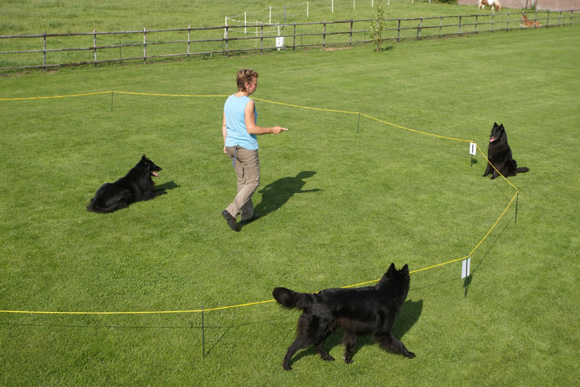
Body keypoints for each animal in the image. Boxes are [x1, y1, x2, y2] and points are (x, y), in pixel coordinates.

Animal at [274, 264, 414, 370]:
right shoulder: (384, 332)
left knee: (318, 345)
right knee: (293, 347)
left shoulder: (353, 330)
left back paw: (327, 357)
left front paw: (347, 360)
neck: (385, 292)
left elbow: (349, 346)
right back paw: (286, 366)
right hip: (313, 333)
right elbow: (399, 343)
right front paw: (408, 354)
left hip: (327, 329)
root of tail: (314, 297)